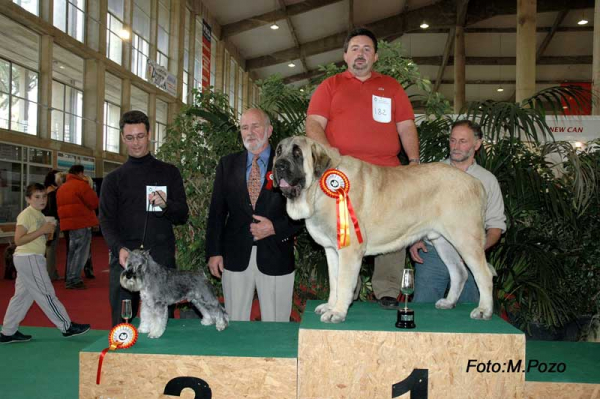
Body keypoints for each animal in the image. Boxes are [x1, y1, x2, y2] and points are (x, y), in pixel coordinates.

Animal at [274, 136, 494, 324]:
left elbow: (343, 282)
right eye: (278, 151)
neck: (319, 188)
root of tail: (476, 183)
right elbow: (334, 281)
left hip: (466, 238)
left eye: (297, 153)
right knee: (459, 272)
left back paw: (484, 310)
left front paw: (337, 312)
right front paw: (330, 306)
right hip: (443, 242)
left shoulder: (349, 251)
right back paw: (449, 302)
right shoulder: (332, 250)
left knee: (484, 274)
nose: (278, 165)